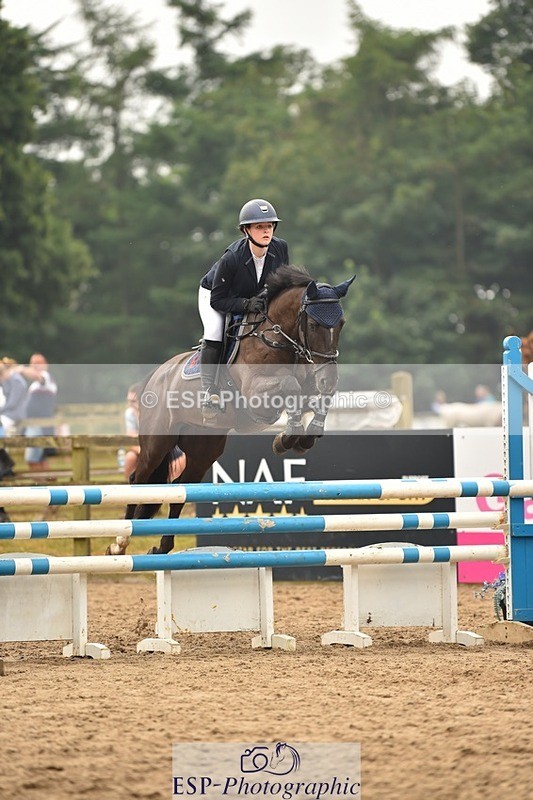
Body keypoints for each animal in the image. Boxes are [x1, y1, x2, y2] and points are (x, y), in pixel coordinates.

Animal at [108, 265, 355, 556]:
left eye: (341, 323)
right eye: (314, 325)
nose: (328, 378)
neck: (277, 338)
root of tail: (157, 375)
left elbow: (318, 398)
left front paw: (303, 435)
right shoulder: (257, 393)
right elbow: (290, 385)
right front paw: (288, 438)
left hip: (204, 450)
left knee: (180, 487)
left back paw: (162, 547)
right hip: (157, 442)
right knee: (139, 479)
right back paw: (119, 544)